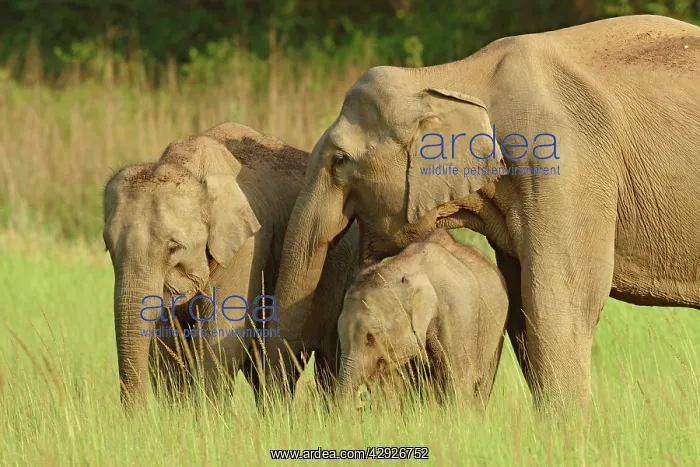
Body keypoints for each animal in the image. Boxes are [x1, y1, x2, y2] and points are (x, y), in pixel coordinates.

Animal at [102, 121, 359, 407]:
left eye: (173, 248)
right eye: (108, 246)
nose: (139, 414)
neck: (188, 166)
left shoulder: (248, 247)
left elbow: (222, 334)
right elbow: (165, 341)